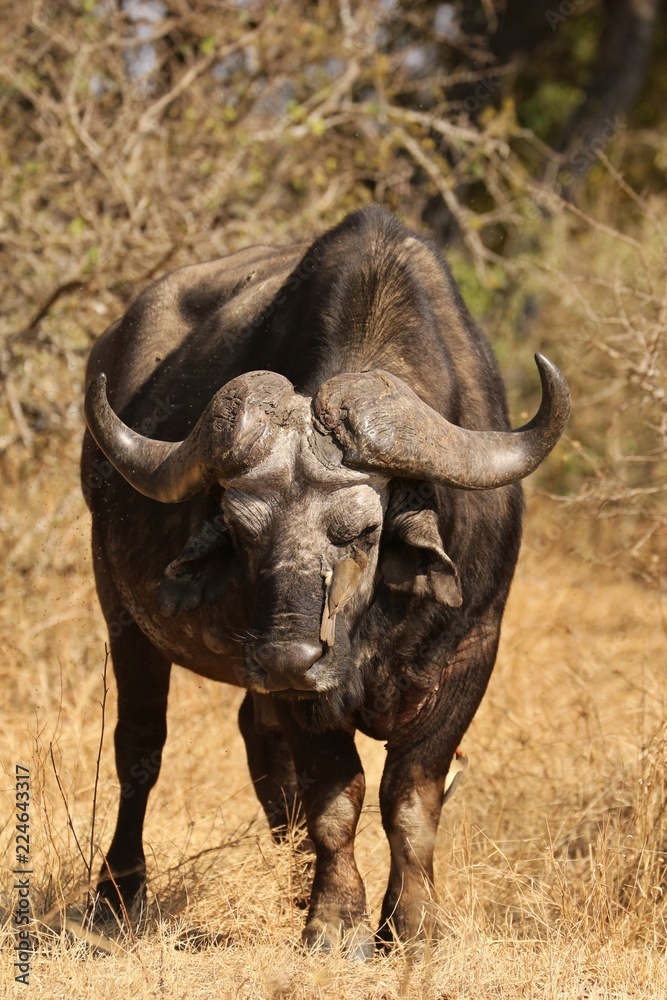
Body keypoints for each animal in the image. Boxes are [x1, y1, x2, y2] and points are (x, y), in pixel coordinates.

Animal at [81, 206, 570, 956]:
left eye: (361, 531)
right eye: (239, 527)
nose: (287, 652)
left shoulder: (473, 651)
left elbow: (411, 796)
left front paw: (412, 924)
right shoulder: (302, 692)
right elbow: (337, 797)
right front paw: (336, 920)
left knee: (259, 747)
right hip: (124, 614)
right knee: (140, 750)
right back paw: (117, 894)